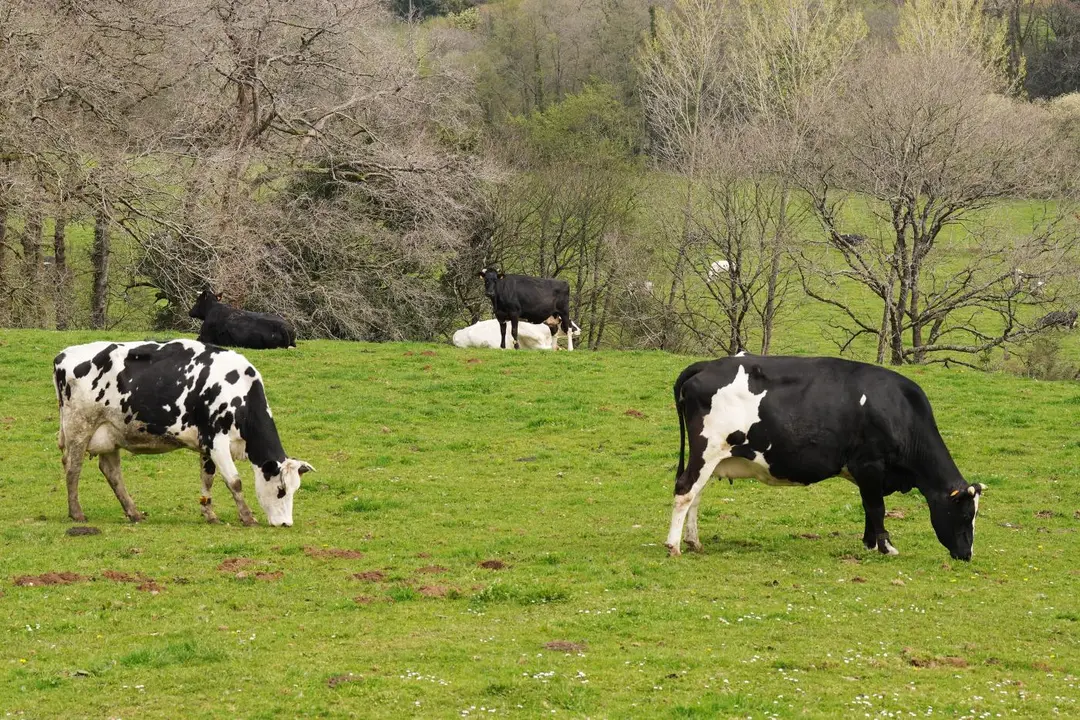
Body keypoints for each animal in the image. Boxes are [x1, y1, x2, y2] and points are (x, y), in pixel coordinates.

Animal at [53, 340, 314, 527]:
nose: (286, 523)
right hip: (79, 427)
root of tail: (63, 354)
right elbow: (235, 481)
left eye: (295, 489)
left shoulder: (207, 444)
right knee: (73, 468)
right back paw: (77, 513)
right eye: (281, 490)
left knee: (112, 472)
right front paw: (247, 517)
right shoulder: (217, 441)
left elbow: (207, 478)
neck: (239, 391)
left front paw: (210, 514)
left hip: (110, 433)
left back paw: (134, 513)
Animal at [667, 355, 985, 561]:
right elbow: (877, 507)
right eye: (965, 514)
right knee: (685, 490)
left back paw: (693, 541)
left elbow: (868, 507)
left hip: (712, 458)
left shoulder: (867, 474)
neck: (898, 409)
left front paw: (870, 543)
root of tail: (706, 364)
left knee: (696, 494)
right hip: (706, 449)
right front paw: (886, 547)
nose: (967, 555)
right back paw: (674, 546)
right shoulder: (869, 465)